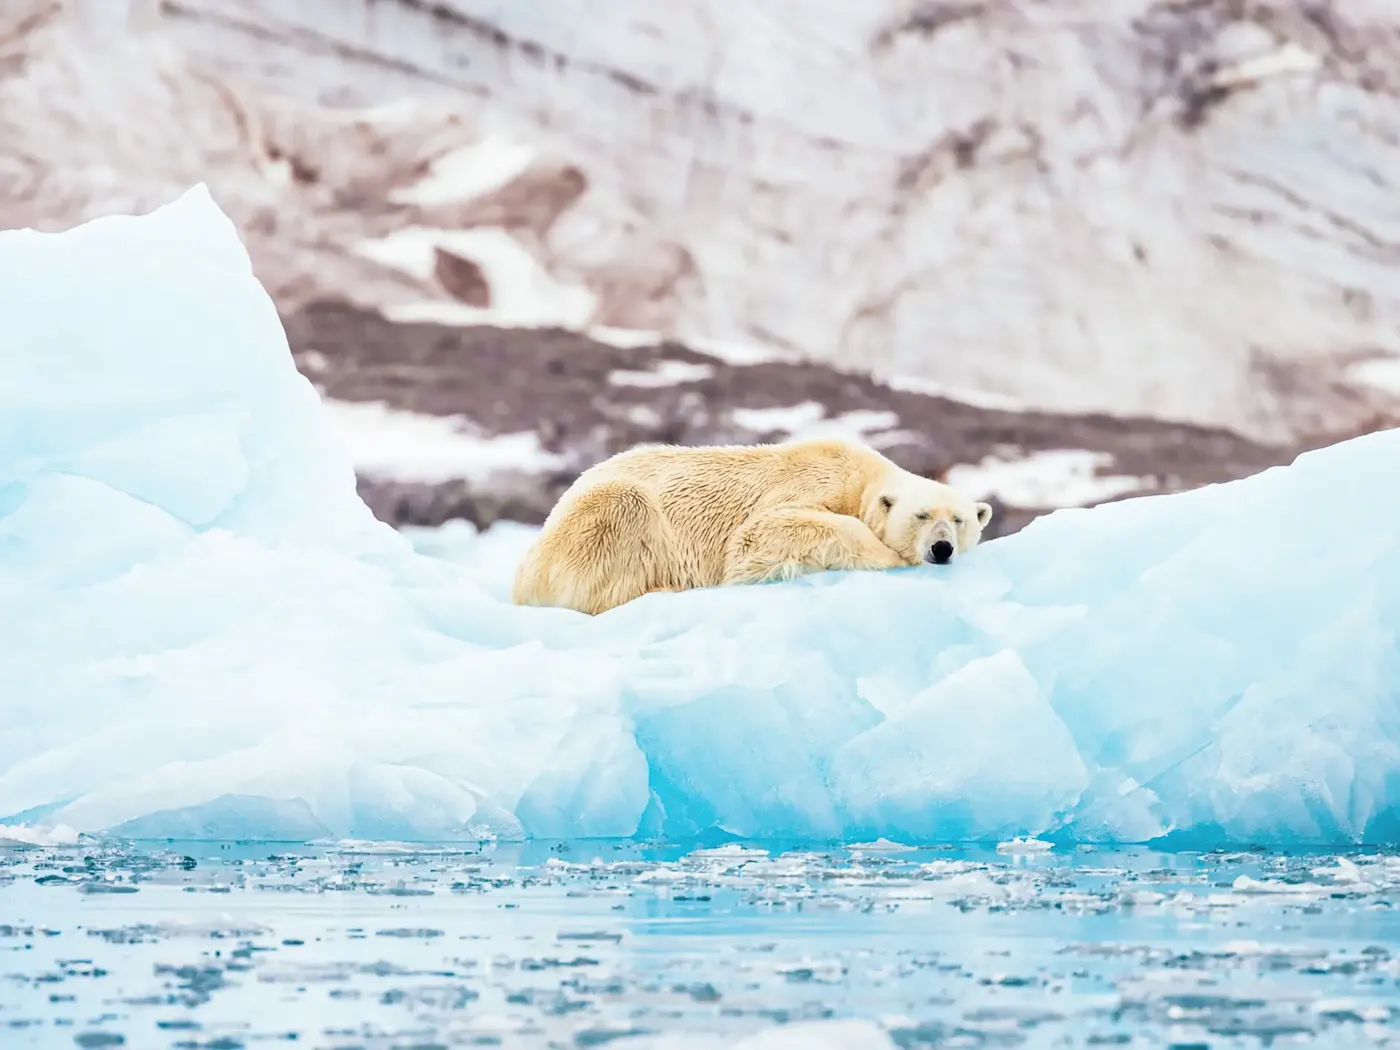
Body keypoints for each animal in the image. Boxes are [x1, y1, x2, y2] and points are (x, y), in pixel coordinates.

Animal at [509, 436, 991, 616]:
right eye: (922, 515)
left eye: (959, 519)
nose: (942, 548)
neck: (860, 475)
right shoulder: (813, 481)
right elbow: (761, 534)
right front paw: (887, 554)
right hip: (592, 523)